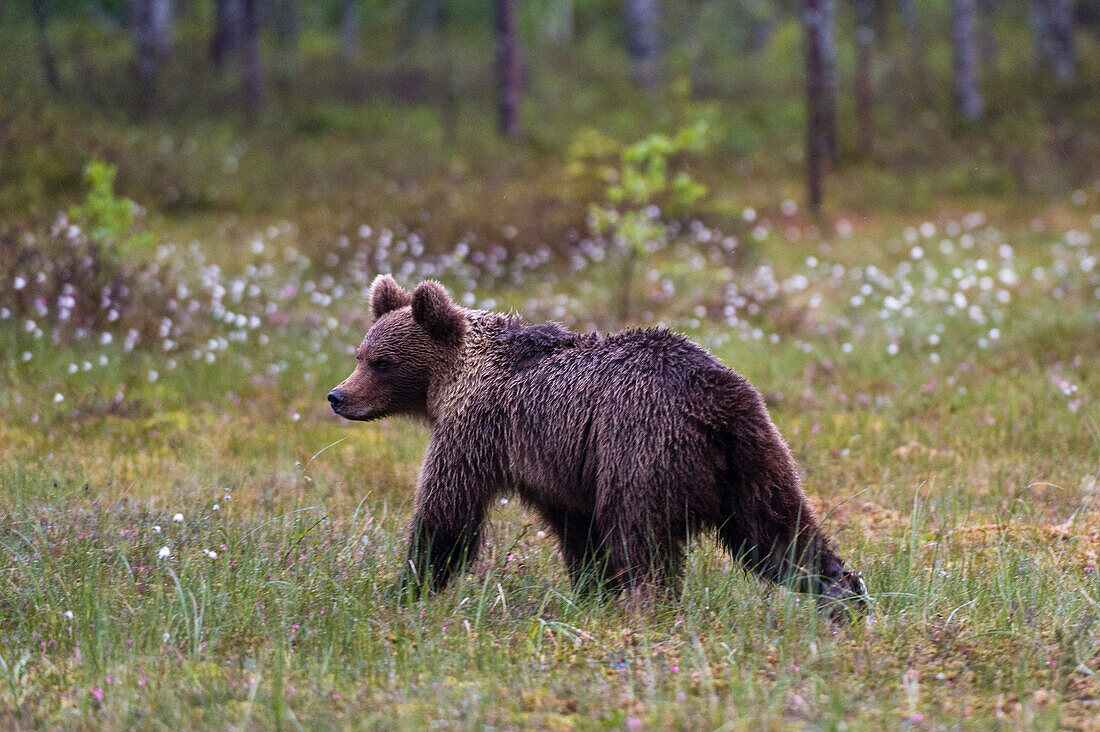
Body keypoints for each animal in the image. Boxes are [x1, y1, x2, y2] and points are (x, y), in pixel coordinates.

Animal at [325, 274, 866, 616]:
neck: (455, 379)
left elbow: (447, 513)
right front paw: (590, 591)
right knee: (777, 530)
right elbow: (577, 532)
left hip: (640, 449)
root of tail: (716, 404)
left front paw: (404, 588)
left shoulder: (476, 433)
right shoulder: (558, 464)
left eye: (382, 362)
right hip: (755, 452)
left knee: (640, 536)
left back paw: (648, 607)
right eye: (360, 352)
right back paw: (844, 594)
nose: (338, 396)